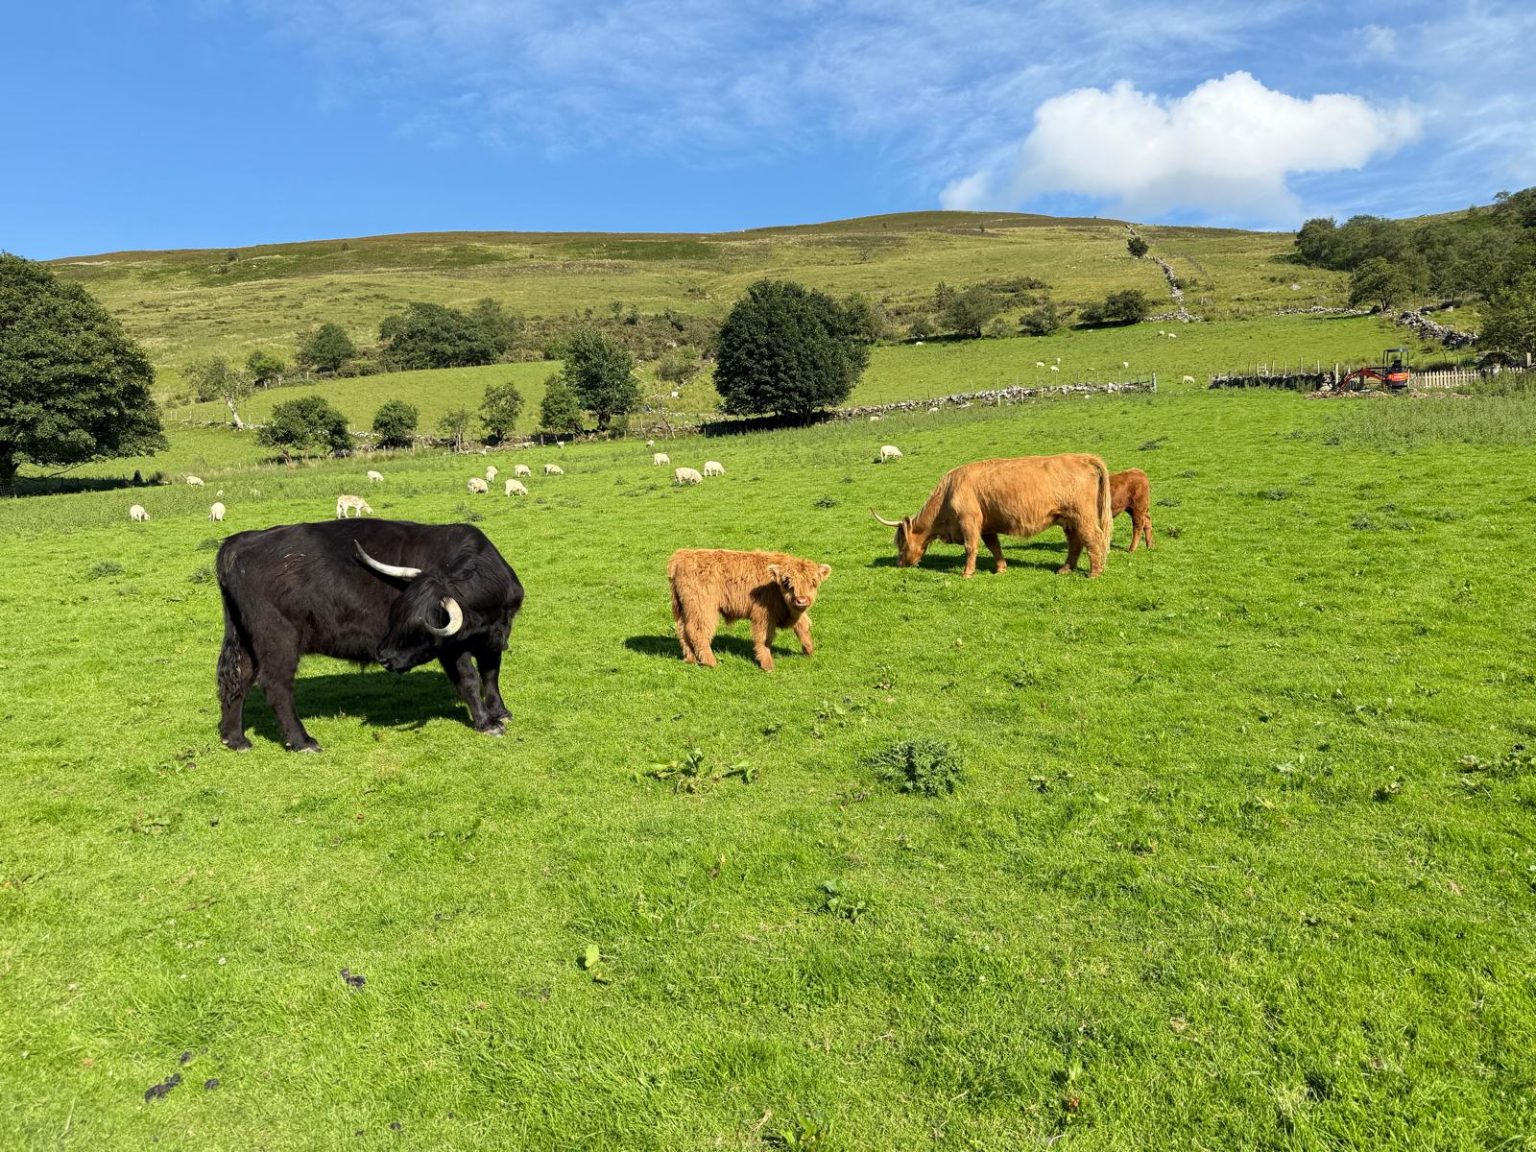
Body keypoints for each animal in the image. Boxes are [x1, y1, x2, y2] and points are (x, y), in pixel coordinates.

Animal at [215, 519, 524, 752]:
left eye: (416, 626)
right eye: (397, 617)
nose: (384, 658)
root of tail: (242, 541)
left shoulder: (494, 639)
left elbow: (490, 674)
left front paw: (500, 711)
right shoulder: (452, 649)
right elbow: (470, 680)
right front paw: (486, 723)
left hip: (245, 639)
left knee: (238, 679)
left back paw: (235, 738)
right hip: (277, 640)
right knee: (276, 685)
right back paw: (302, 741)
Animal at [668, 549, 831, 671]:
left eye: (813, 582)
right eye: (787, 582)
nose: (801, 600)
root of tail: (682, 555)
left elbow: (803, 626)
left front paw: (809, 651)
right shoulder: (763, 615)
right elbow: (764, 638)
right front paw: (767, 665)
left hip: (685, 610)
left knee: (683, 630)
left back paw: (690, 658)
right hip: (703, 608)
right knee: (697, 631)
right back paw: (710, 662)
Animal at [871, 453, 1112, 578]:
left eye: (901, 544)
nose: (899, 563)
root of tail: (1081, 457)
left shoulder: (969, 521)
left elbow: (971, 548)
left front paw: (967, 573)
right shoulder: (987, 527)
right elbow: (994, 547)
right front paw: (1001, 569)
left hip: (1083, 516)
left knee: (1094, 538)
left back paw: (1095, 572)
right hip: (1068, 520)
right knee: (1075, 543)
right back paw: (1065, 569)